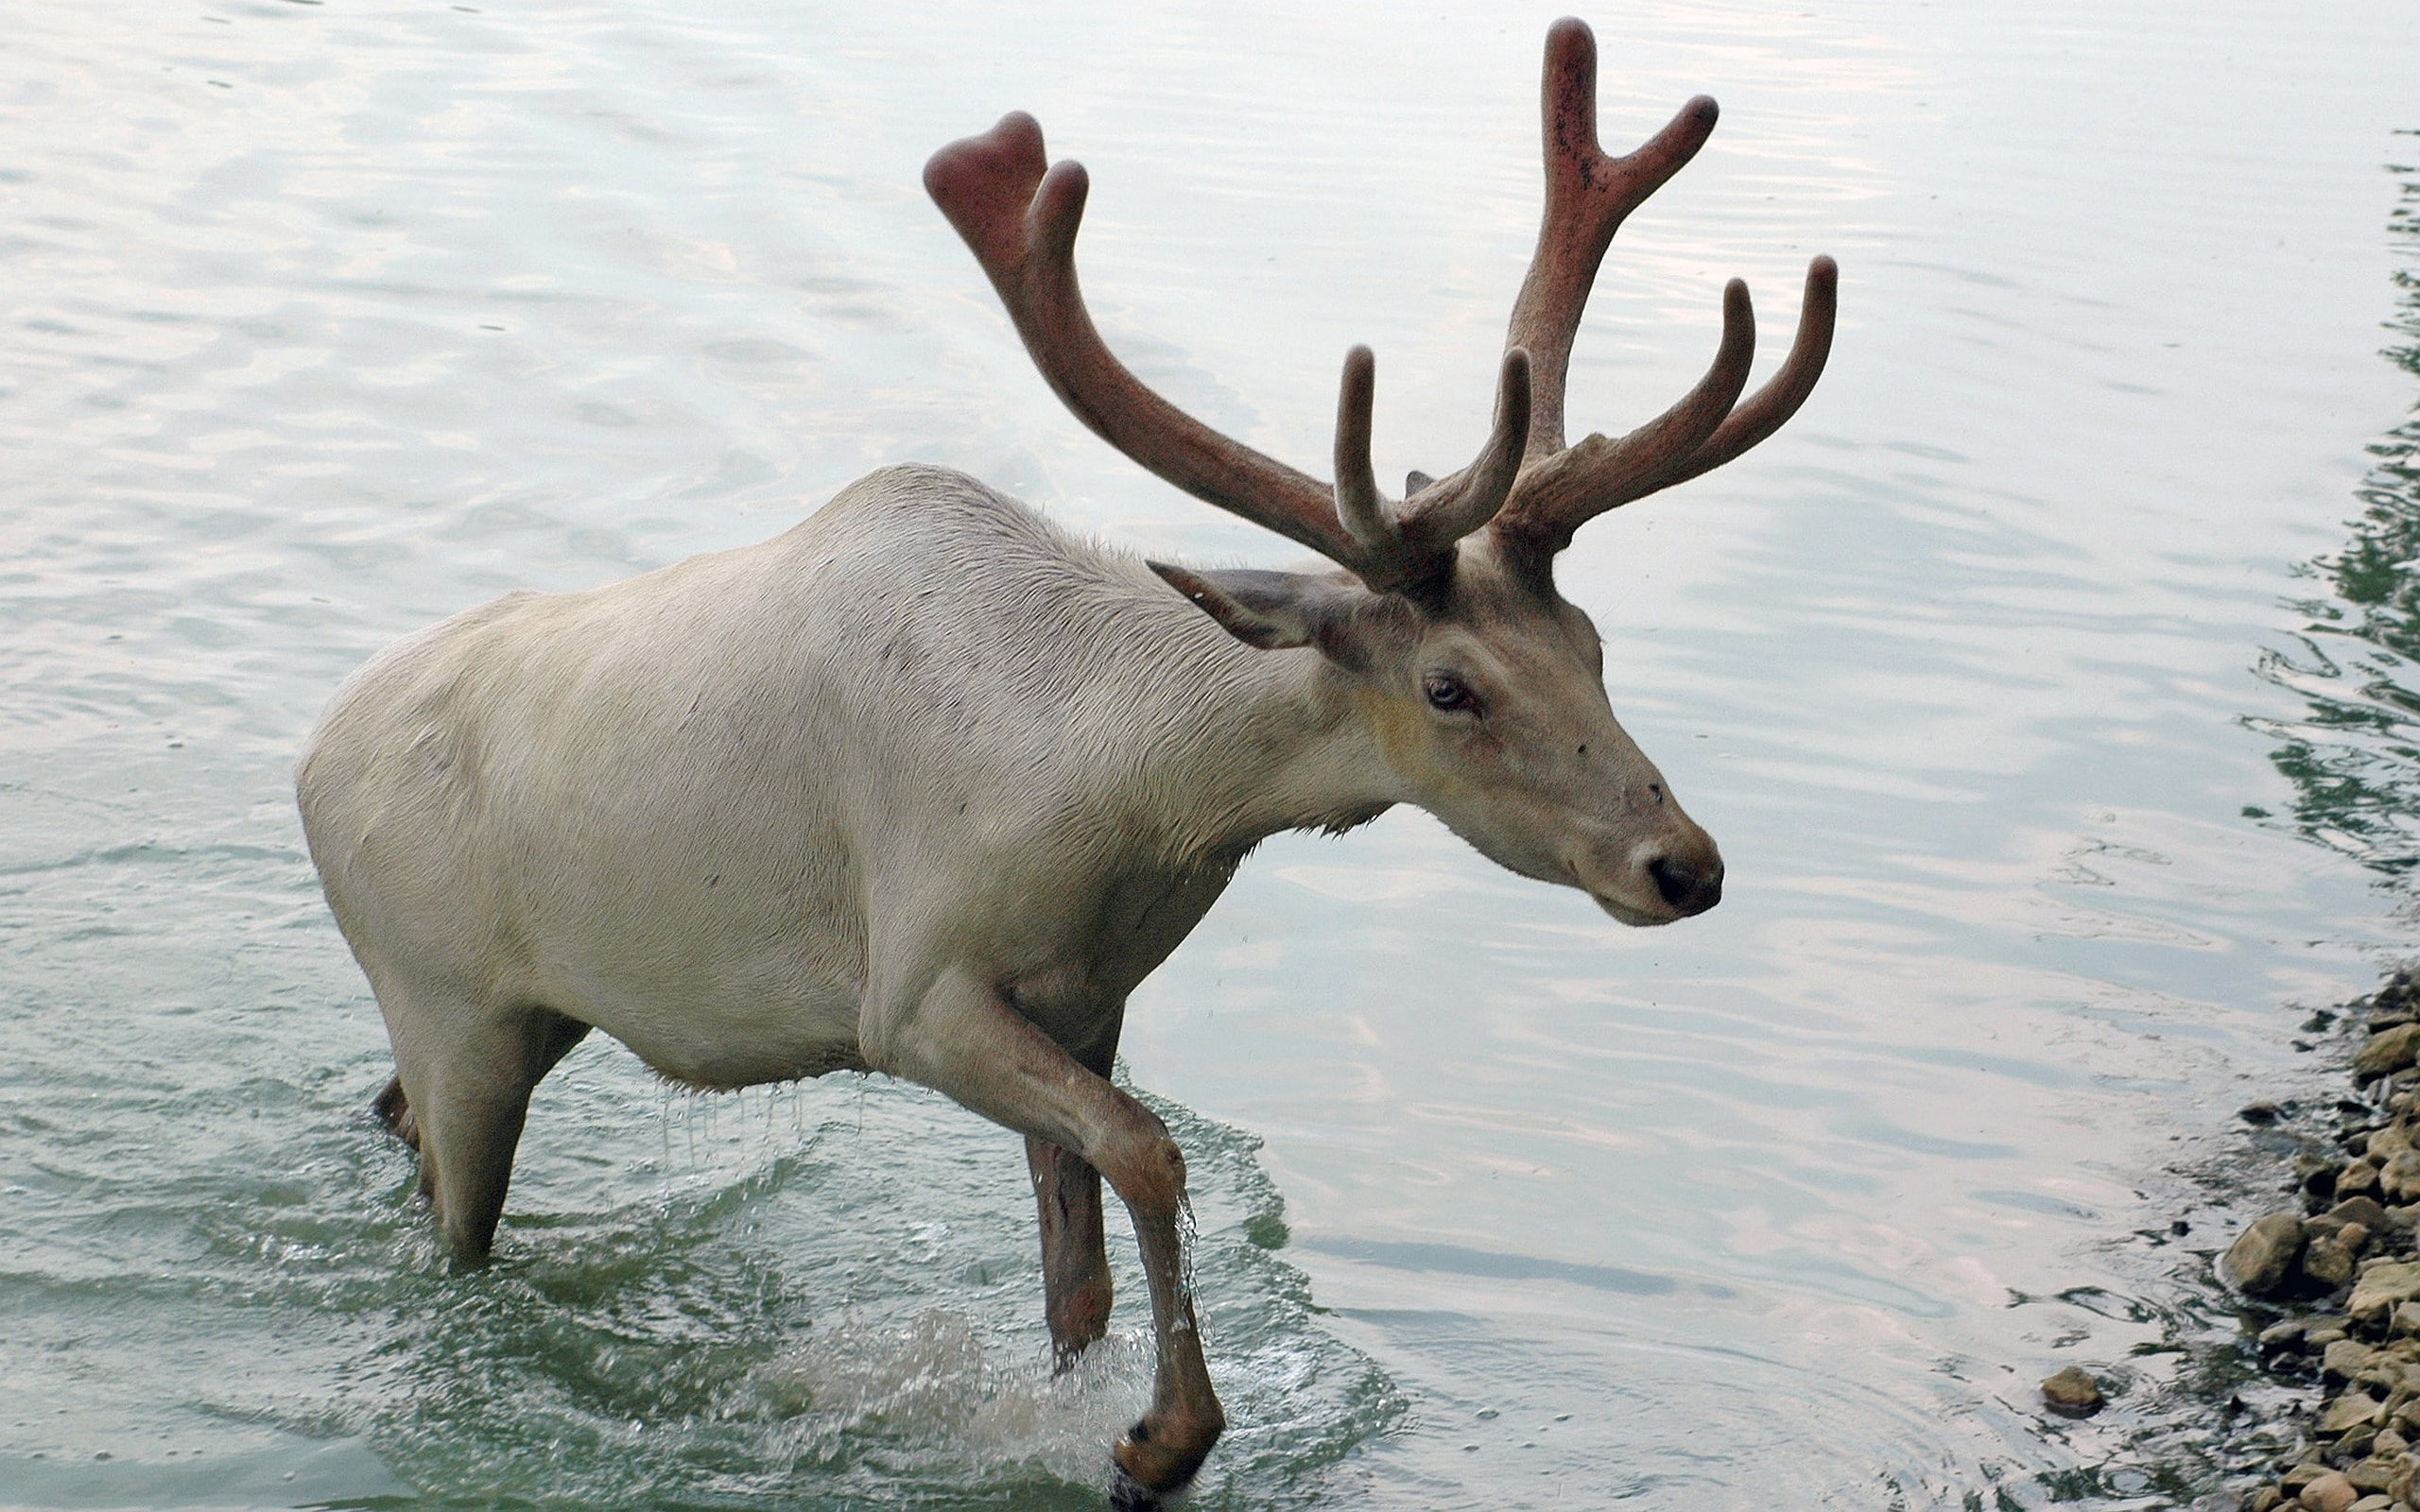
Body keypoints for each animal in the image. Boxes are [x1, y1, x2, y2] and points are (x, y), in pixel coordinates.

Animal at [295, 17, 1833, 1507]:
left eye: (1591, 641)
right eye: (1450, 687)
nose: (1682, 863)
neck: (1124, 804)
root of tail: (307, 758)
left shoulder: (1088, 997)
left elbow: (1079, 1270)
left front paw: (1103, 1414)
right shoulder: (913, 998)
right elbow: (1152, 1150)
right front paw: (1160, 1439)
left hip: (524, 1013)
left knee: (396, 1110)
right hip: (445, 999)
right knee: (454, 1219)